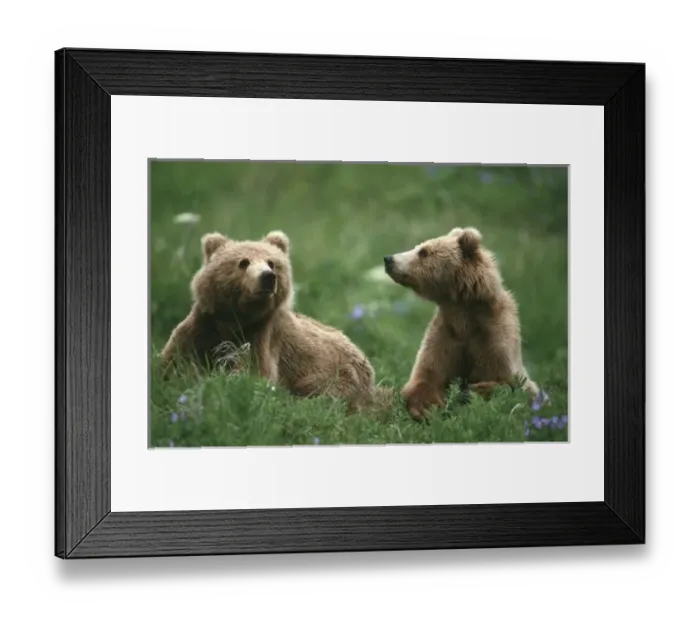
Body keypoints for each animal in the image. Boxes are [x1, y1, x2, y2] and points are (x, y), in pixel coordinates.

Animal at [160, 229, 383, 412]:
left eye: (271, 262)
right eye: (243, 262)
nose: (267, 276)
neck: (236, 319)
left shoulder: (260, 337)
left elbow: (253, 374)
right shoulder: (203, 327)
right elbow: (174, 361)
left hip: (338, 374)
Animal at [383, 226, 541, 421]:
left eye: (423, 251)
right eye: (419, 247)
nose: (389, 259)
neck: (463, 315)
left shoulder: (494, 340)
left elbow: (507, 382)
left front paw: (470, 391)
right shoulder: (445, 335)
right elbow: (427, 376)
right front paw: (423, 409)